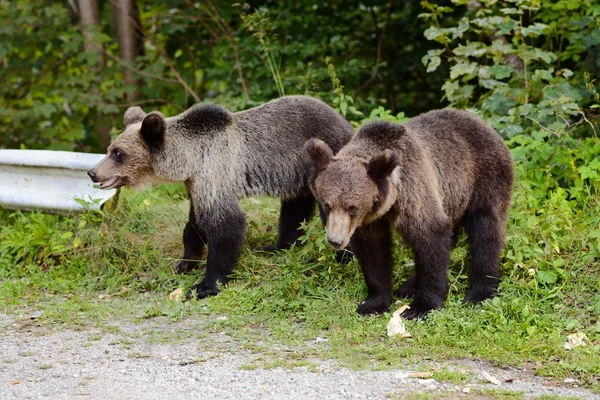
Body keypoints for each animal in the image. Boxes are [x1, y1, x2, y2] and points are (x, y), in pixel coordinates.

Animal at [86, 95, 354, 298]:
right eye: (110, 149)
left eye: (118, 153)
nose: (92, 172)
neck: (189, 159)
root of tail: (347, 124)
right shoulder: (195, 183)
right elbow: (193, 224)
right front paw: (185, 262)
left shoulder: (214, 171)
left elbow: (225, 225)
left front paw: (205, 285)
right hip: (296, 174)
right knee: (294, 208)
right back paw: (276, 246)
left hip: (325, 157)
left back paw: (342, 258)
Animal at [308, 108, 512, 318]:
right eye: (327, 205)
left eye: (352, 207)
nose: (335, 240)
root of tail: (484, 124)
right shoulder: (370, 220)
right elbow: (373, 252)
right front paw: (373, 303)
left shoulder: (414, 191)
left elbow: (430, 237)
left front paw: (420, 307)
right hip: (452, 197)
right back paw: (408, 286)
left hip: (484, 179)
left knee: (485, 232)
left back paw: (480, 293)